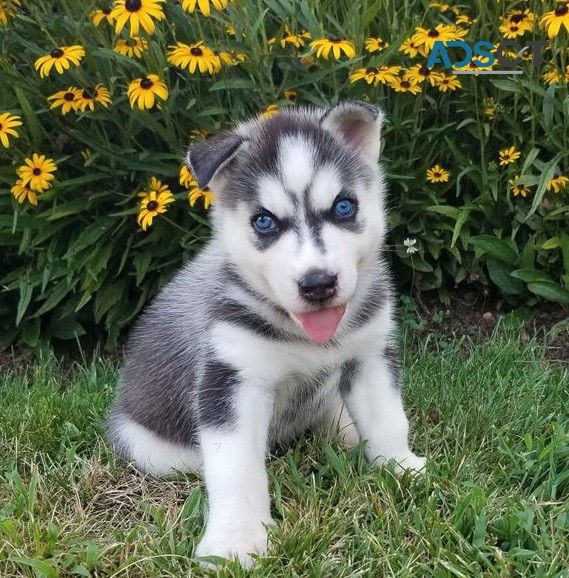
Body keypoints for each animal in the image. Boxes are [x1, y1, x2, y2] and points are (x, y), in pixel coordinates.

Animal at [107, 101, 426, 564]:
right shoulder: (232, 379)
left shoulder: (369, 356)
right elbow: (237, 469)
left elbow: (388, 419)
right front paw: (235, 540)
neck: (307, 337)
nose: (318, 283)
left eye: (343, 207)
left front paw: (399, 466)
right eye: (264, 222)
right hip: (147, 446)